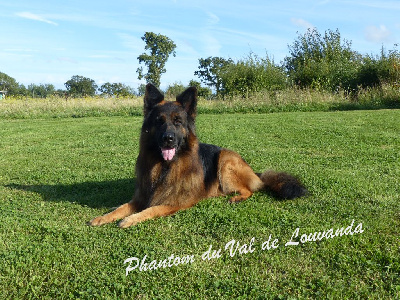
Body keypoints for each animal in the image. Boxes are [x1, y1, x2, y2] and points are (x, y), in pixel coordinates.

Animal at [88, 83, 306, 229]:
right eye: (159, 121)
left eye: (178, 122)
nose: (168, 139)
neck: (165, 167)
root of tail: (254, 172)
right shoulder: (142, 196)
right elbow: (120, 207)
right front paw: (103, 217)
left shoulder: (174, 202)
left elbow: (151, 210)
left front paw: (130, 219)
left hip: (225, 161)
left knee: (249, 190)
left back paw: (237, 197)